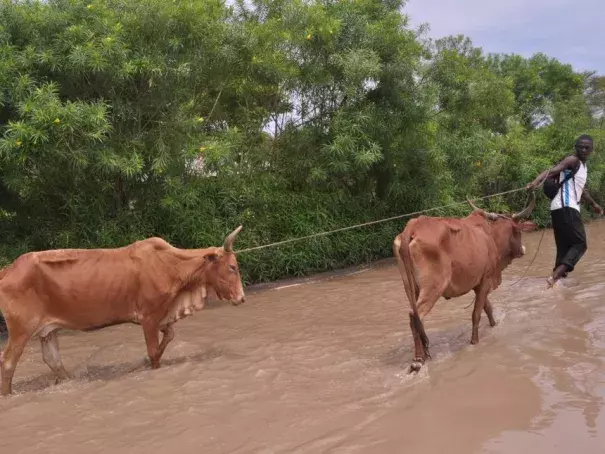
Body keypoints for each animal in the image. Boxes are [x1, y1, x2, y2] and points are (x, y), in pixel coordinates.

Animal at [0, 226, 245, 394]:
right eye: (232, 267)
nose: (241, 298)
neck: (171, 266)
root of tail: (8, 269)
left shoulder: (163, 316)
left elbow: (170, 335)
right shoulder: (149, 317)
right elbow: (154, 352)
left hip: (48, 330)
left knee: (53, 360)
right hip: (21, 329)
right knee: (8, 363)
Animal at [392, 193, 536, 370]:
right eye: (519, 232)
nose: (523, 250)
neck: (491, 237)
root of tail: (413, 225)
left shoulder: (478, 283)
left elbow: (488, 308)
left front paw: (494, 325)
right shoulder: (486, 279)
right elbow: (476, 314)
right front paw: (474, 341)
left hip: (410, 288)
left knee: (417, 318)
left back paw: (422, 355)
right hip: (433, 287)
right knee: (415, 316)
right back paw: (418, 359)